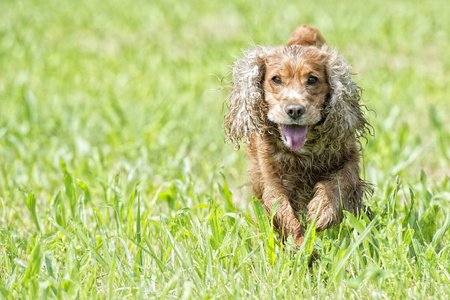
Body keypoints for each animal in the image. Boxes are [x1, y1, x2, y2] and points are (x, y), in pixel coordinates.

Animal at [223, 25, 370, 246]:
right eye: (276, 79)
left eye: (312, 79)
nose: (294, 110)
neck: (304, 151)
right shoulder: (272, 179)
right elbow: (283, 212)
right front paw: (302, 245)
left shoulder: (349, 157)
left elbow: (341, 181)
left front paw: (322, 211)